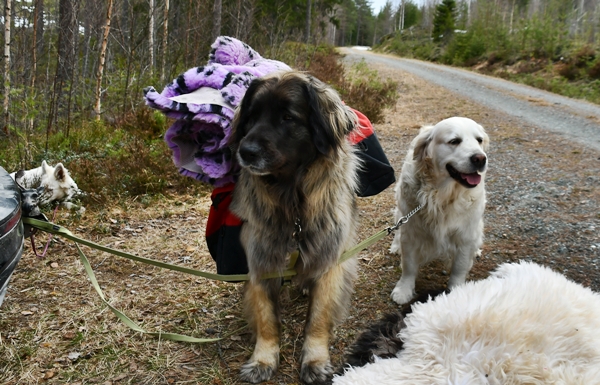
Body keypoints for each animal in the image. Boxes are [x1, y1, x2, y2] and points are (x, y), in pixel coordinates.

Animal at [390, 117, 492, 304]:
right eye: (454, 141)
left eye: (479, 140)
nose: (481, 158)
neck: (441, 196)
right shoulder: (411, 231)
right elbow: (409, 265)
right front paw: (404, 290)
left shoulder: (465, 236)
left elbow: (459, 268)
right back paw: (395, 246)